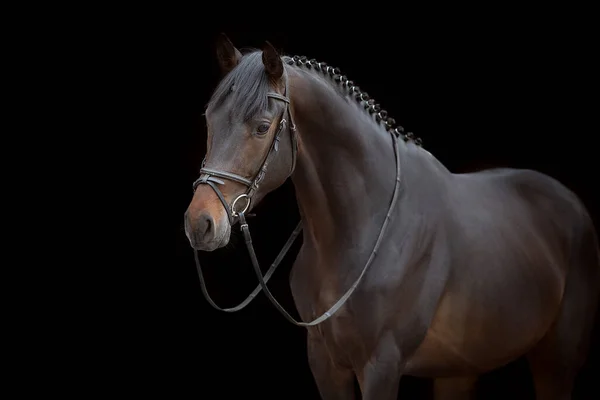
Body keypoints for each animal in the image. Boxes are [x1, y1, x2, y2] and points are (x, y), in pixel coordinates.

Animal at [184, 35, 600, 400]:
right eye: (209, 119)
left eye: (261, 127)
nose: (200, 223)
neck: (362, 229)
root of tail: (571, 204)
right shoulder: (325, 363)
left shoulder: (381, 365)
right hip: (459, 370)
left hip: (556, 362)